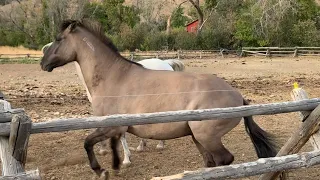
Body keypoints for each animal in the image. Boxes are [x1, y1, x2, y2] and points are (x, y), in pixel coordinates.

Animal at [41, 42, 185, 166]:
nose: (44, 64)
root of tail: (166, 63)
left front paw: (126, 158)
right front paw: (103, 149)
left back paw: (160, 144)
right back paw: (143, 145)